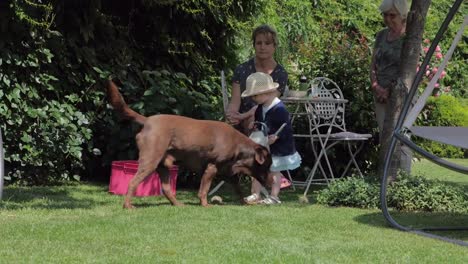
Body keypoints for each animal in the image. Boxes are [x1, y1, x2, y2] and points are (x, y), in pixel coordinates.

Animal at [106, 80, 272, 208]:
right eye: (268, 164)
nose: (272, 182)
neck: (239, 149)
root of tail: (147, 120)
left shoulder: (228, 172)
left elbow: (238, 190)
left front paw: (246, 203)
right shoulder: (211, 167)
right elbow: (204, 190)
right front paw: (205, 205)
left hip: (163, 165)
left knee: (166, 188)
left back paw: (177, 204)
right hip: (150, 160)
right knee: (133, 182)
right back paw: (128, 206)